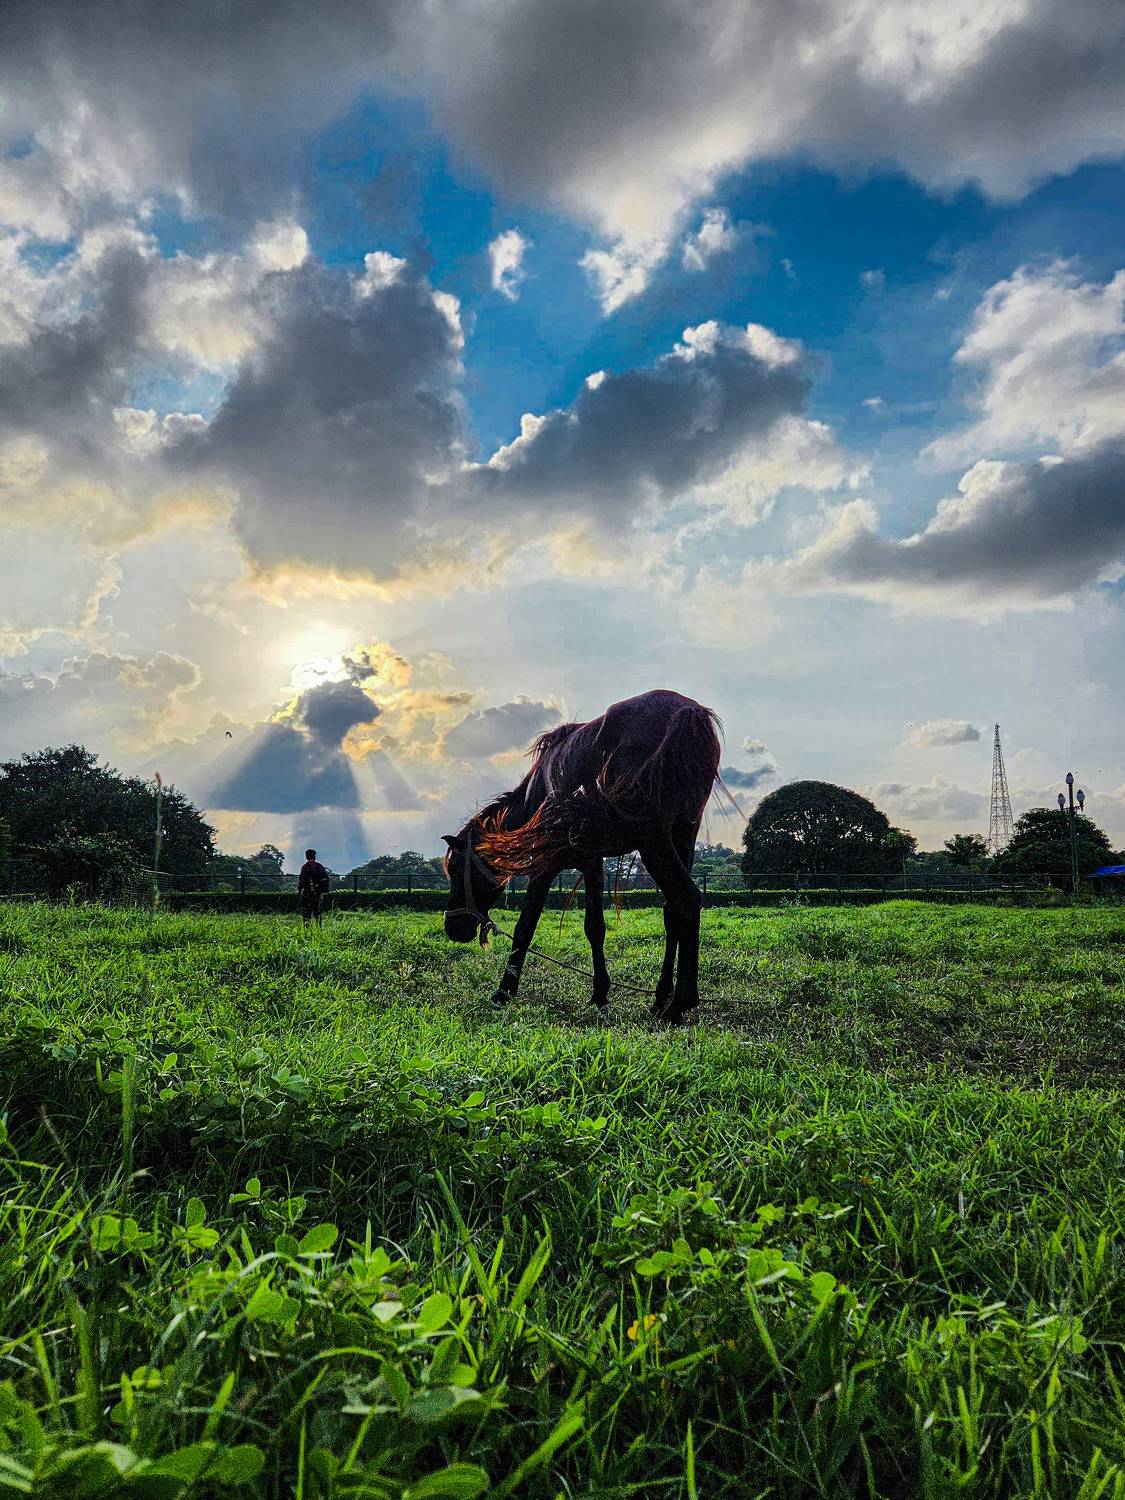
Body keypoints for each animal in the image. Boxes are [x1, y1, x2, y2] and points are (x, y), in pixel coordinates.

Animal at [442, 688, 722, 1023]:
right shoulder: (593, 862)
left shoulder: (546, 864)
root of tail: (689, 712)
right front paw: (600, 993)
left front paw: (504, 991)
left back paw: (679, 1004)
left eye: (457, 869)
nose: (453, 928)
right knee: (672, 912)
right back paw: (660, 998)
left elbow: (526, 926)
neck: (538, 794)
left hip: (654, 841)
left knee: (687, 899)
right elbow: (595, 927)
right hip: (683, 834)